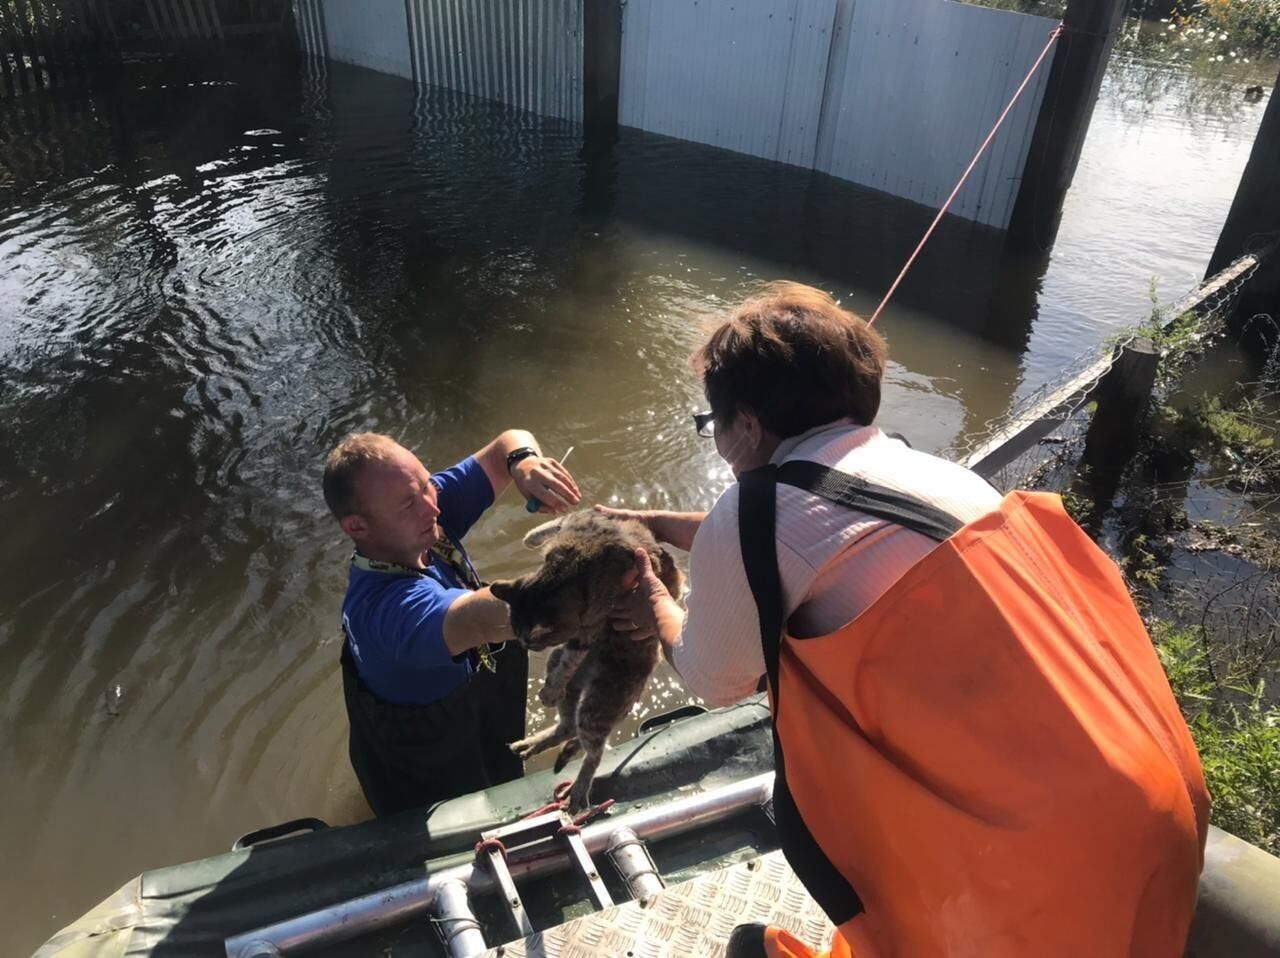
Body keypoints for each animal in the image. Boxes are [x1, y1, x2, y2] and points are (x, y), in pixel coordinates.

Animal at [488, 512, 686, 814]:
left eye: (530, 644)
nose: (525, 646)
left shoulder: (588, 629)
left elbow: (569, 660)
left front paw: (550, 690)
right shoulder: (584, 518)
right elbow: (554, 523)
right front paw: (532, 538)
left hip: (599, 703)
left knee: (593, 749)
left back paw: (578, 789)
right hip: (569, 684)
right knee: (567, 724)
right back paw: (533, 743)